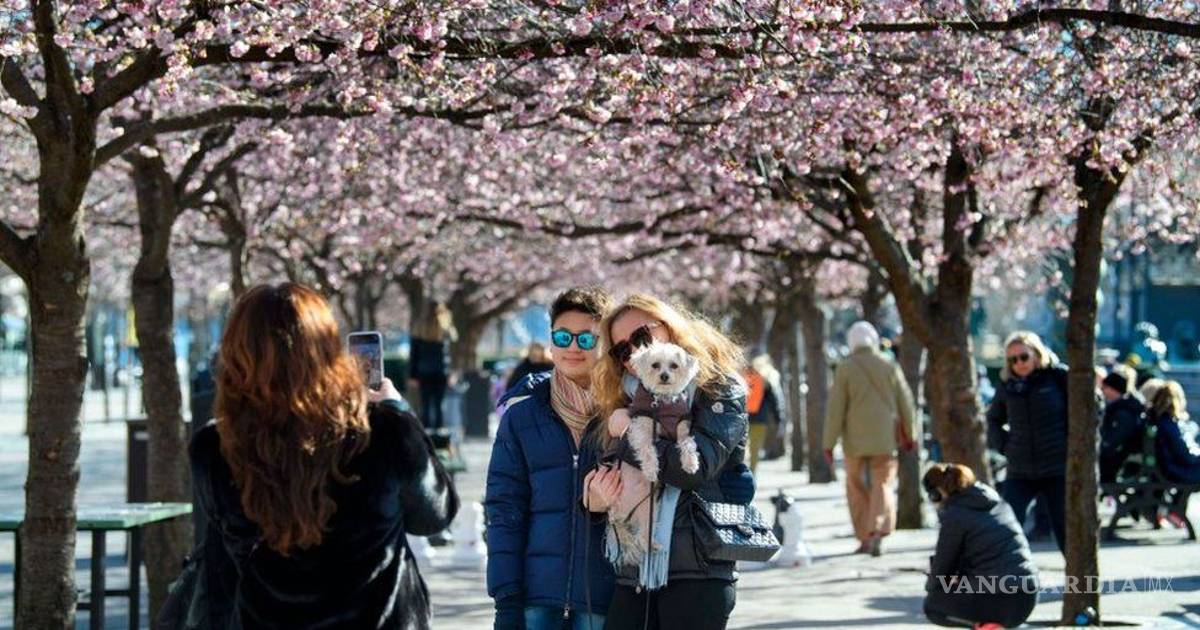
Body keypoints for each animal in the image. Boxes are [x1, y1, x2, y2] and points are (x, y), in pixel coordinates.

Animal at [606, 341, 700, 566]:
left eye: (674, 366)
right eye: (655, 365)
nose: (664, 376)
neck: (662, 401)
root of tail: (622, 516)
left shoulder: (682, 428)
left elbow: (688, 444)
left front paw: (691, 463)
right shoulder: (640, 429)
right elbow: (648, 450)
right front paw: (650, 471)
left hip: (649, 510)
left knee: (643, 535)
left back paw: (654, 545)